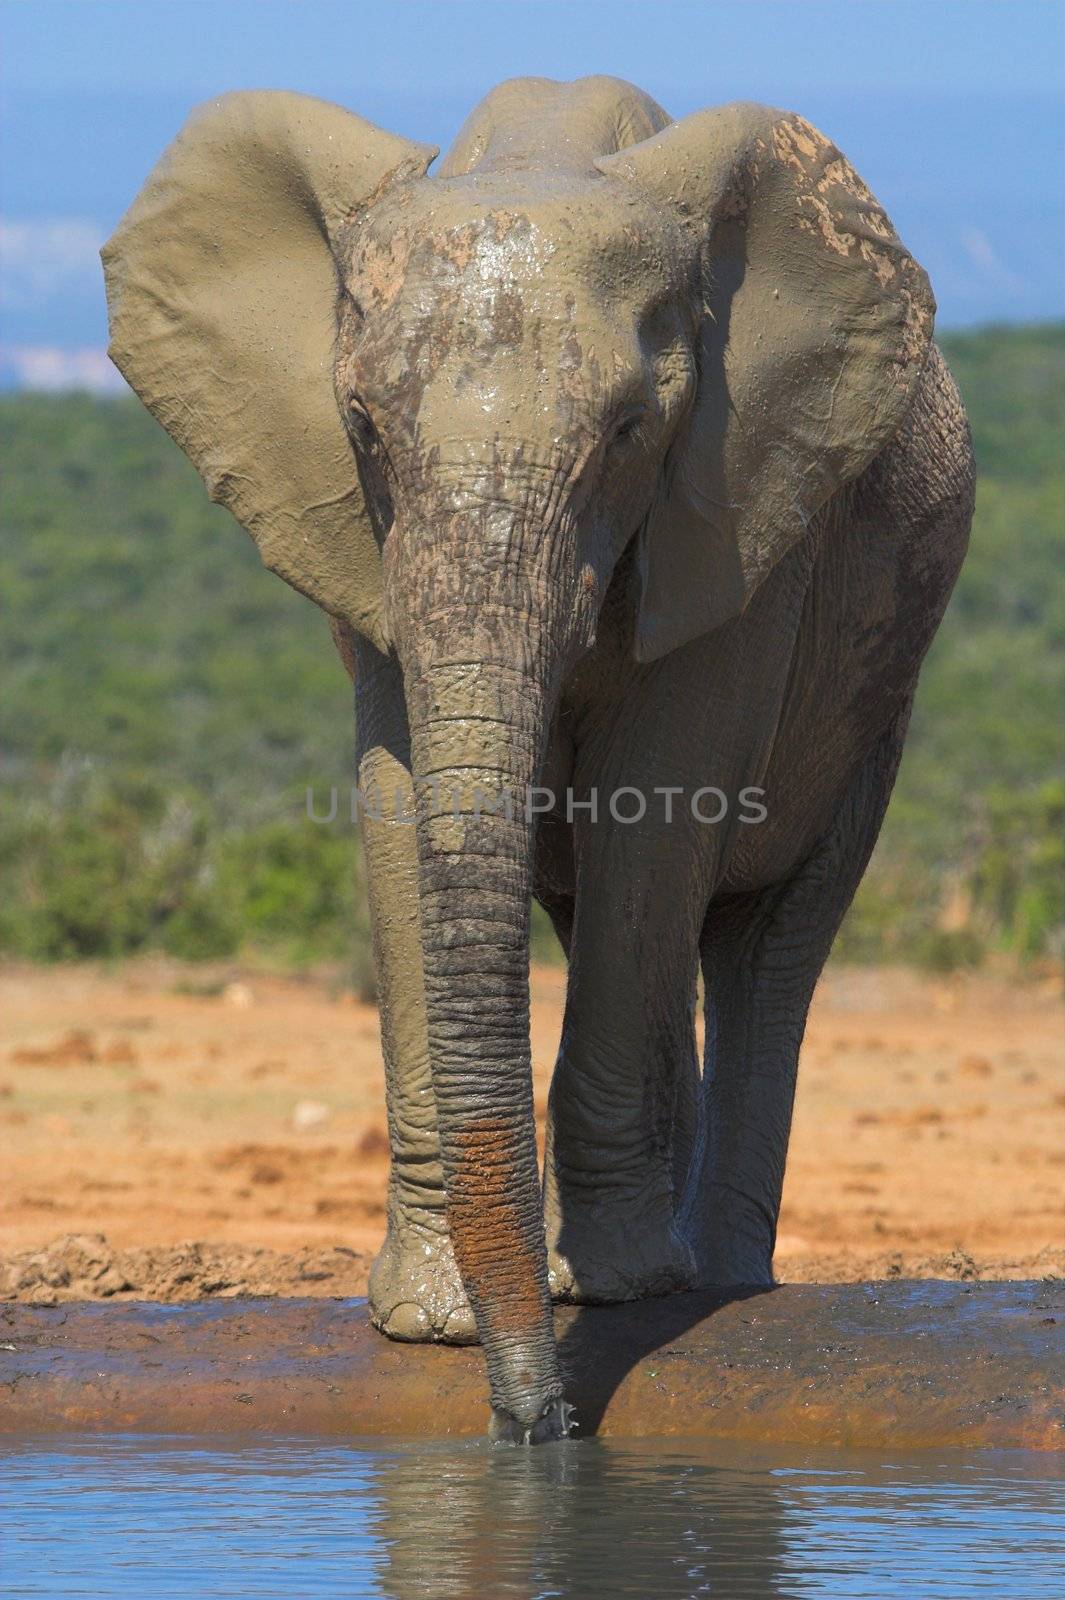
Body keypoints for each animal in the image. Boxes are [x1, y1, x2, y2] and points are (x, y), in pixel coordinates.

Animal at [101, 78, 972, 1440]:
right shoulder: (363, 546)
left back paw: (706, 1276)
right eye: (361, 425)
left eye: (628, 431)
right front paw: (431, 1323)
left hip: (880, 690)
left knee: (764, 939)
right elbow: (400, 799)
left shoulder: (733, 511)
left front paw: (607, 1301)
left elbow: (660, 801)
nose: (544, 1428)